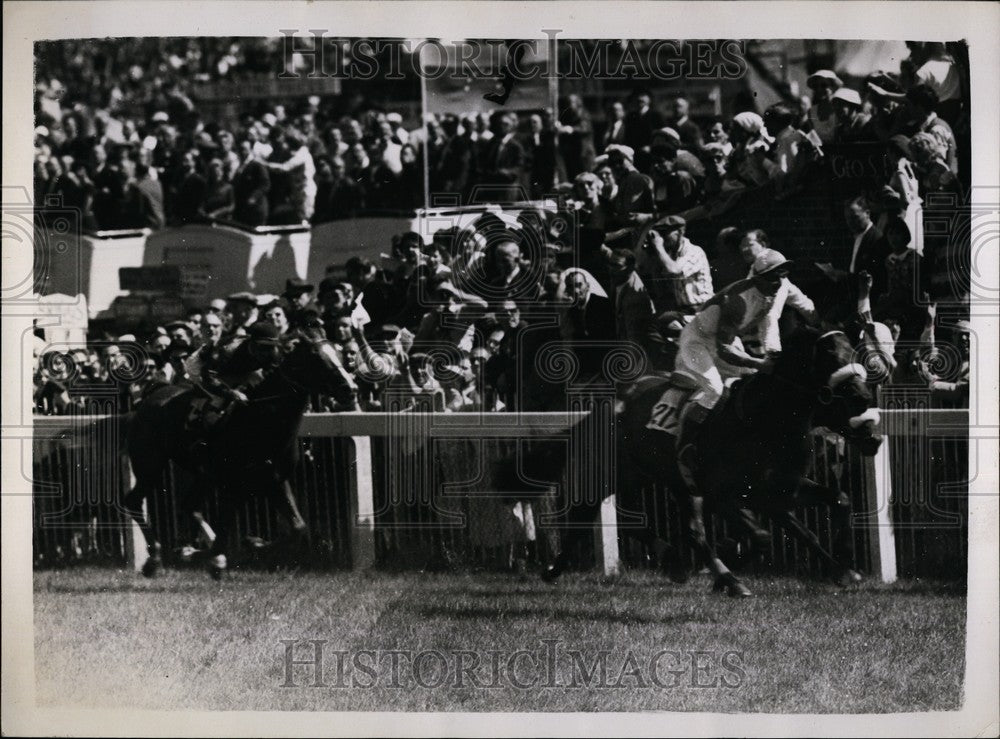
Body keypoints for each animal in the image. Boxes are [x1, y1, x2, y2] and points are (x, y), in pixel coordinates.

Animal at [127, 336, 356, 580]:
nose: (351, 389)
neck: (264, 419)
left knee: (189, 505)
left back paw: (191, 550)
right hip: (150, 464)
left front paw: (250, 543)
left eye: (340, 355)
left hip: (203, 475)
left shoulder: (275, 480)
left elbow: (299, 529)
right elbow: (227, 523)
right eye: (316, 358)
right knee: (133, 500)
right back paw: (154, 559)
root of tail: (152, 395)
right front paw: (222, 558)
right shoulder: (236, 484)